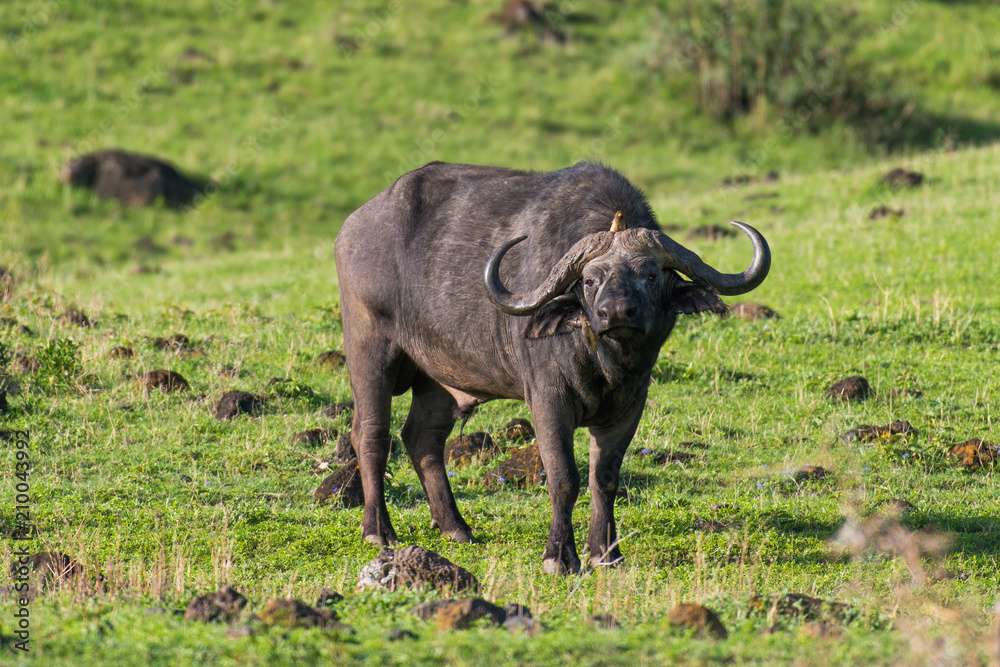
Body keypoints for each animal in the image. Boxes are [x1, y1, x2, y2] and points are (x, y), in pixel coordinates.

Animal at [335, 162, 770, 573]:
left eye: (649, 274)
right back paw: (379, 531)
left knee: (422, 438)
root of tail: (352, 228)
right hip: (368, 348)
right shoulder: (548, 400)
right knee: (372, 435)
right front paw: (559, 557)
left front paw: (606, 554)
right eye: (590, 280)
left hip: (439, 377)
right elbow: (563, 479)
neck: (604, 362)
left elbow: (604, 478)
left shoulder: (630, 405)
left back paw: (456, 528)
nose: (615, 312)